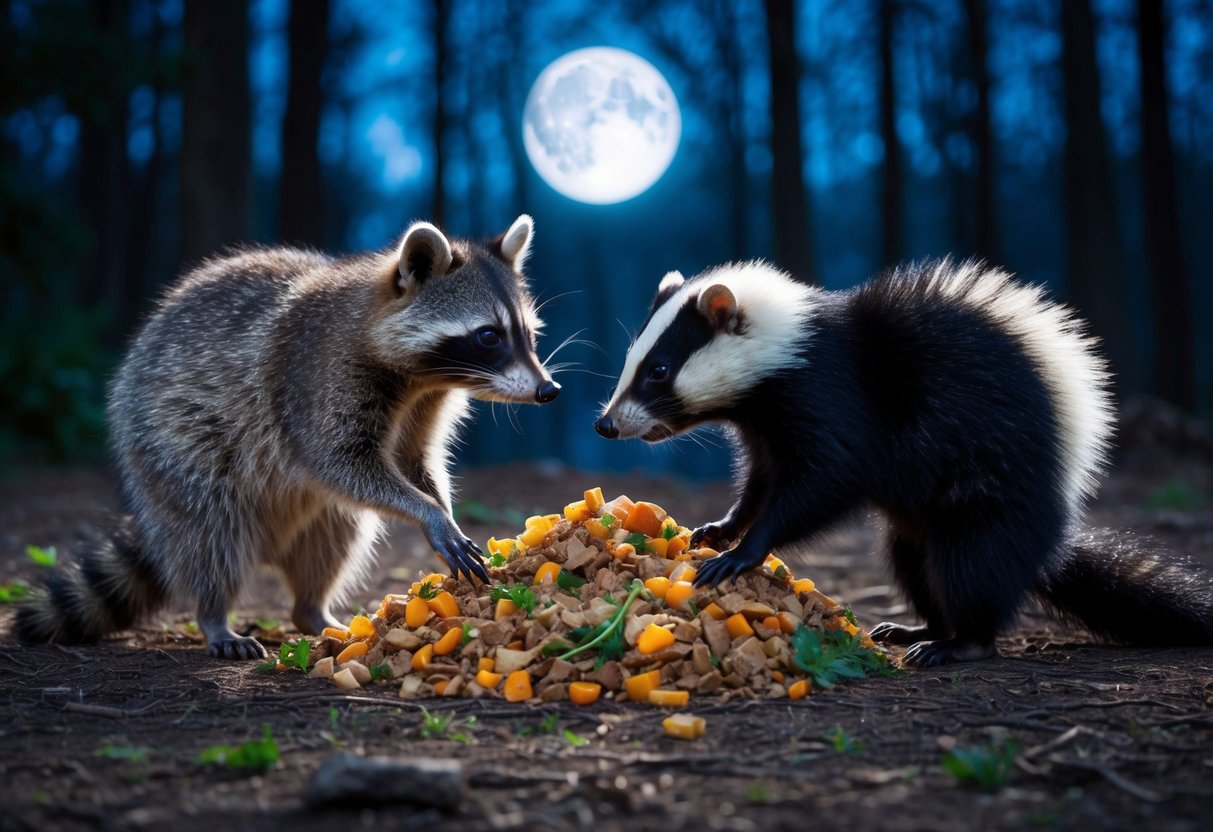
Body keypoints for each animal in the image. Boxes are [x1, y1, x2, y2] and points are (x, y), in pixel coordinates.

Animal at [16, 215, 559, 659]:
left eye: (531, 336)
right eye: (489, 336)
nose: (548, 390)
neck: (420, 376)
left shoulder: (426, 401)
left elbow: (412, 459)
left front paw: (440, 505)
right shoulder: (317, 373)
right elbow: (335, 458)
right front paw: (429, 512)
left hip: (306, 512)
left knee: (336, 534)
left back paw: (312, 609)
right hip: (168, 439)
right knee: (211, 529)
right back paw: (214, 613)